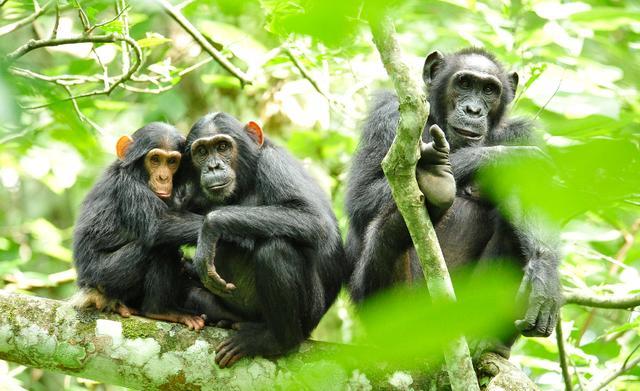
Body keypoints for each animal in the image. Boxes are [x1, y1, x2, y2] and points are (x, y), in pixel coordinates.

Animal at [72, 122, 238, 330]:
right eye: (155, 160)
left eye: (172, 161)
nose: (163, 177)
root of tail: (86, 290)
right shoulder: (128, 188)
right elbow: (159, 224)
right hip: (104, 277)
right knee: (160, 245)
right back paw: (161, 310)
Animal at [182, 112, 348, 368]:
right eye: (201, 152)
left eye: (222, 147)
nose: (213, 166)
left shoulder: (275, 164)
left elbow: (315, 219)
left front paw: (210, 227)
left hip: (309, 315)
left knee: (275, 249)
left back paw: (274, 340)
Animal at [348, 47, 564, 354]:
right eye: (464, 83)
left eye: (489, 89)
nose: (474, 110)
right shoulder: (387, 114)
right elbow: (362, 195)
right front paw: (503, 158)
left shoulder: (524, 132)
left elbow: (534, 197)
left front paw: (545, 276)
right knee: (388, 233)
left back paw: (485, 341)